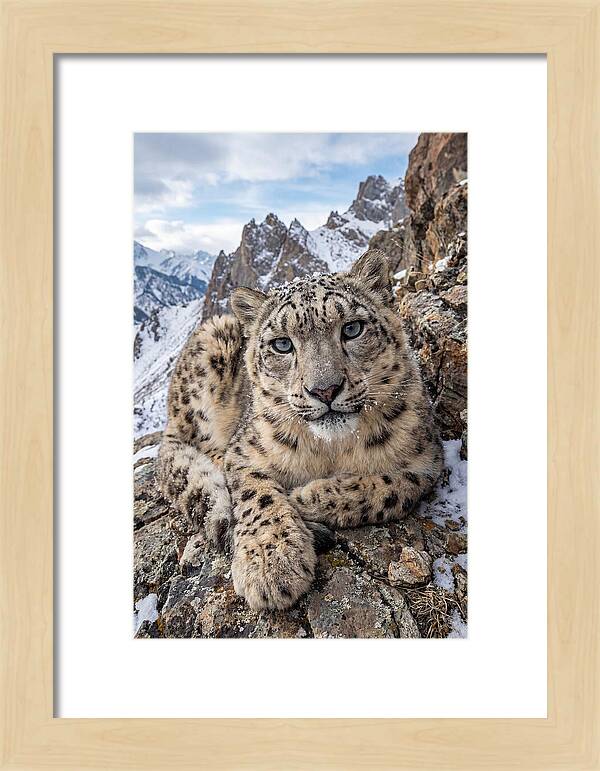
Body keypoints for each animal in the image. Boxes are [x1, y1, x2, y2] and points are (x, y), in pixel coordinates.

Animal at [156, 249, 444, 611]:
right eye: (282, 344)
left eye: (352, 328)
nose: (325, 389)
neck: (332, 450)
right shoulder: (244, 452)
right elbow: (257, 494)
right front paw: (271, 563)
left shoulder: (427, 461)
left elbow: (393, 488)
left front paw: (307, 497)